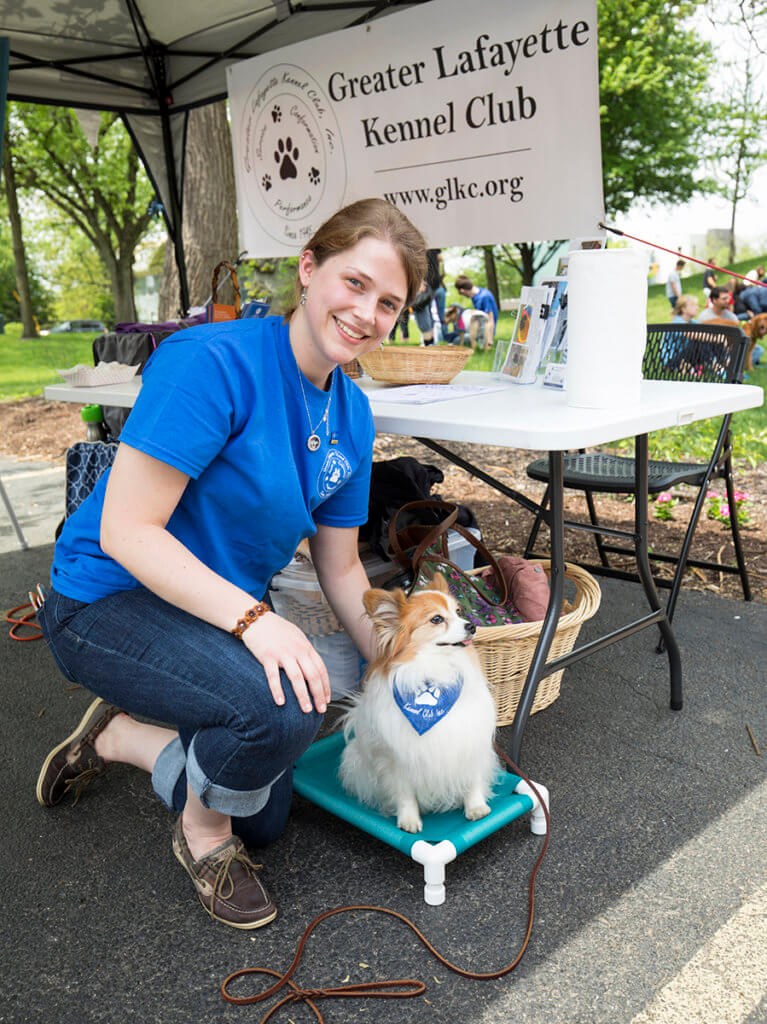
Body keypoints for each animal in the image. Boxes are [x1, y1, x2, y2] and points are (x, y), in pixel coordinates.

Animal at [339, 577, 497, 831]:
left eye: (458, 612)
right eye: (437, 619)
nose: (472, 626)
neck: (436, 673)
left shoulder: (469, 739)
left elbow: (472, 778)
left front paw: (476, 807)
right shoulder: (397, 759)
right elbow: (405, 794)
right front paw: (409, 820)